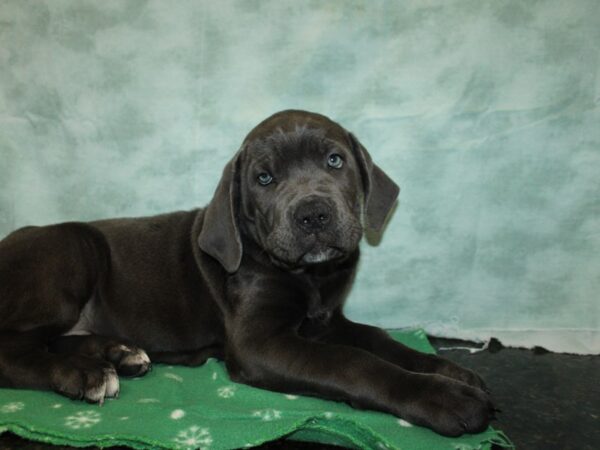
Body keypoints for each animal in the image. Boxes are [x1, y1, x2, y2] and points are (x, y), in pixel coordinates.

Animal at [0, 110, 494, 438]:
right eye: (264, 179)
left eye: (335, 161)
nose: (313, 215)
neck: (309, 277)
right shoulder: (260, 344)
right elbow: (353, 362)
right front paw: (443, 396)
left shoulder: (327, 321)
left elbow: (380, 340)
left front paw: (450, 371)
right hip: (70, 250)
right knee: (14, 349)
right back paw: (85, 374)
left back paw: (119, 353)